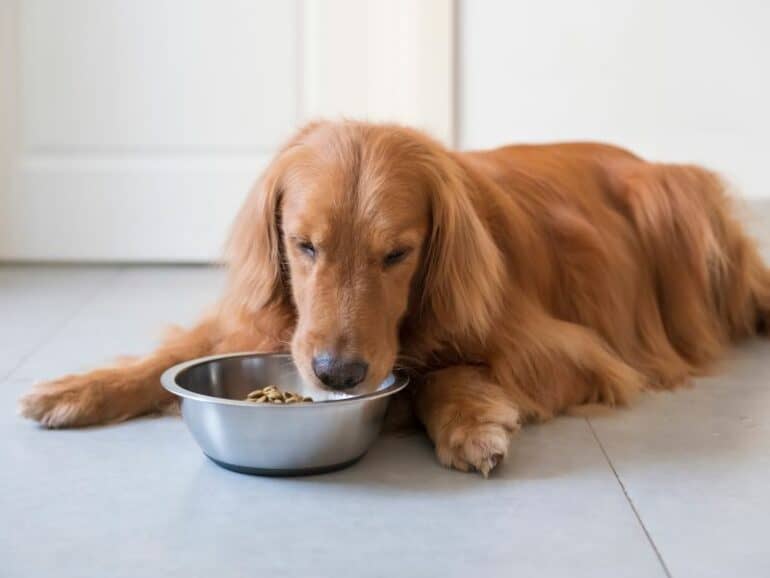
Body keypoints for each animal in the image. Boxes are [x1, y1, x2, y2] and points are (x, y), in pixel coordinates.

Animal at [19, 120, 768, 472]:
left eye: (398, 254)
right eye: (304, 245)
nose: (336, 375)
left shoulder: (571, 352)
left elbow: (436, 374)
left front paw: (468, 423)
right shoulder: (267, 320)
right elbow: (171, 357)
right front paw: (78, 387)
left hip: (676, 213)